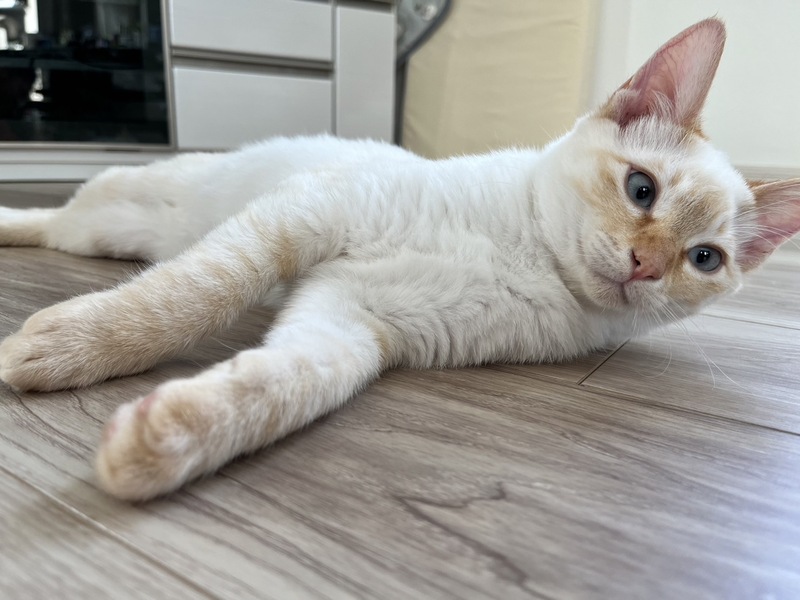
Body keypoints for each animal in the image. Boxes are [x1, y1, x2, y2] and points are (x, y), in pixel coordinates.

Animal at [1, 18, 799, 501]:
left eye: (704, 258)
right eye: (641, 189)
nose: (643, 266)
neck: (526, 257)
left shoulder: (354, 322)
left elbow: (287, 384)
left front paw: (161, 443)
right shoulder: (307, 215)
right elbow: (192, 296)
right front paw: (75, 345)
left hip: (113, 232)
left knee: (61, 229)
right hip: (122, 204)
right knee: (62, 220)